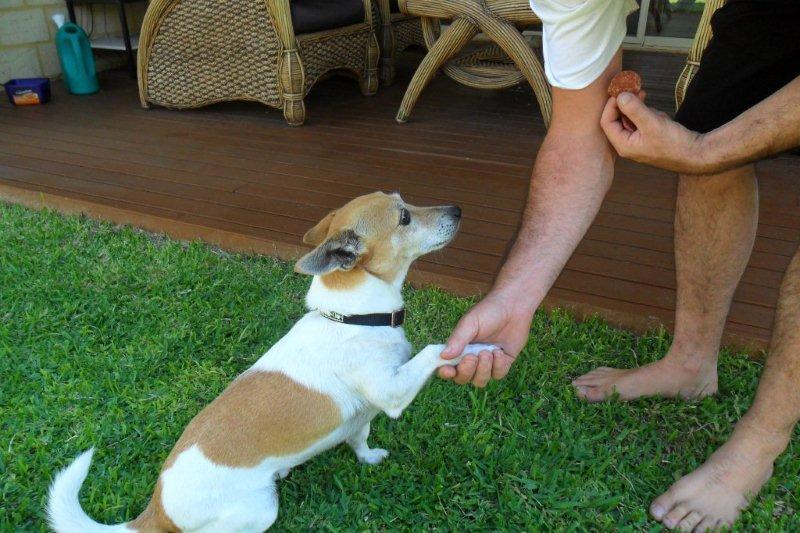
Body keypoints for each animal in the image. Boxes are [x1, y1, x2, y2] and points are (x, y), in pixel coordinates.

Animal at [48, 191, 494, 532]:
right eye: (404, 217)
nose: (458, 210)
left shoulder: (366, 414)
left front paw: (368, 458)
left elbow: (359, 438)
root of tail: (155, 512)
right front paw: (478, 349)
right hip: (260, 510)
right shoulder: (392, 392)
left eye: (407, 203)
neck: (355, 316)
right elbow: (435, 350)